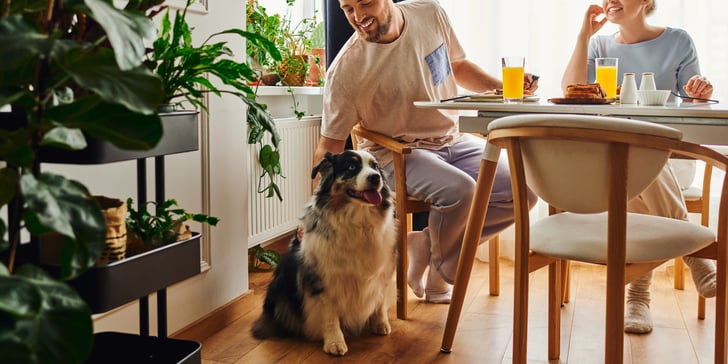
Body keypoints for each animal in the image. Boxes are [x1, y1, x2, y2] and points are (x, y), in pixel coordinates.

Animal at [252, 150, 398, 356]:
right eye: (351, 167)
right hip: (280, 289)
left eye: (375, 166)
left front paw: (380, 324)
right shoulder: (324, 278)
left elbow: (379, 301)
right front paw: (334, 342)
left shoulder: (382, 270)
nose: (376, 177)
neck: (359, 222)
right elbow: (329, 314)